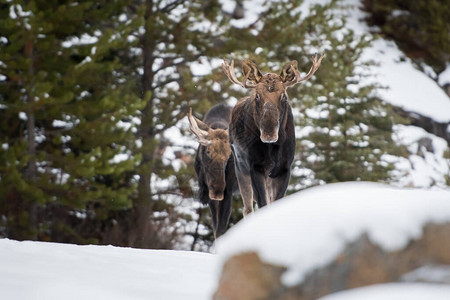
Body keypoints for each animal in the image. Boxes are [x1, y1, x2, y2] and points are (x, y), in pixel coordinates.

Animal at [187, 103, 239, 239]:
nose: (217, 191)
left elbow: (220, 230)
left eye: (228, 156)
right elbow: (216, 230)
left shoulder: (228, 192)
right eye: (207, 151)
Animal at [222, 54, 324, 216]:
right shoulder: (255, 167)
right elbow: (262, 205)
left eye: (284, 96)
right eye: (257, 96)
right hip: (240, 166)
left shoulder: (284, 168)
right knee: (248, 208)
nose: (269, 133)